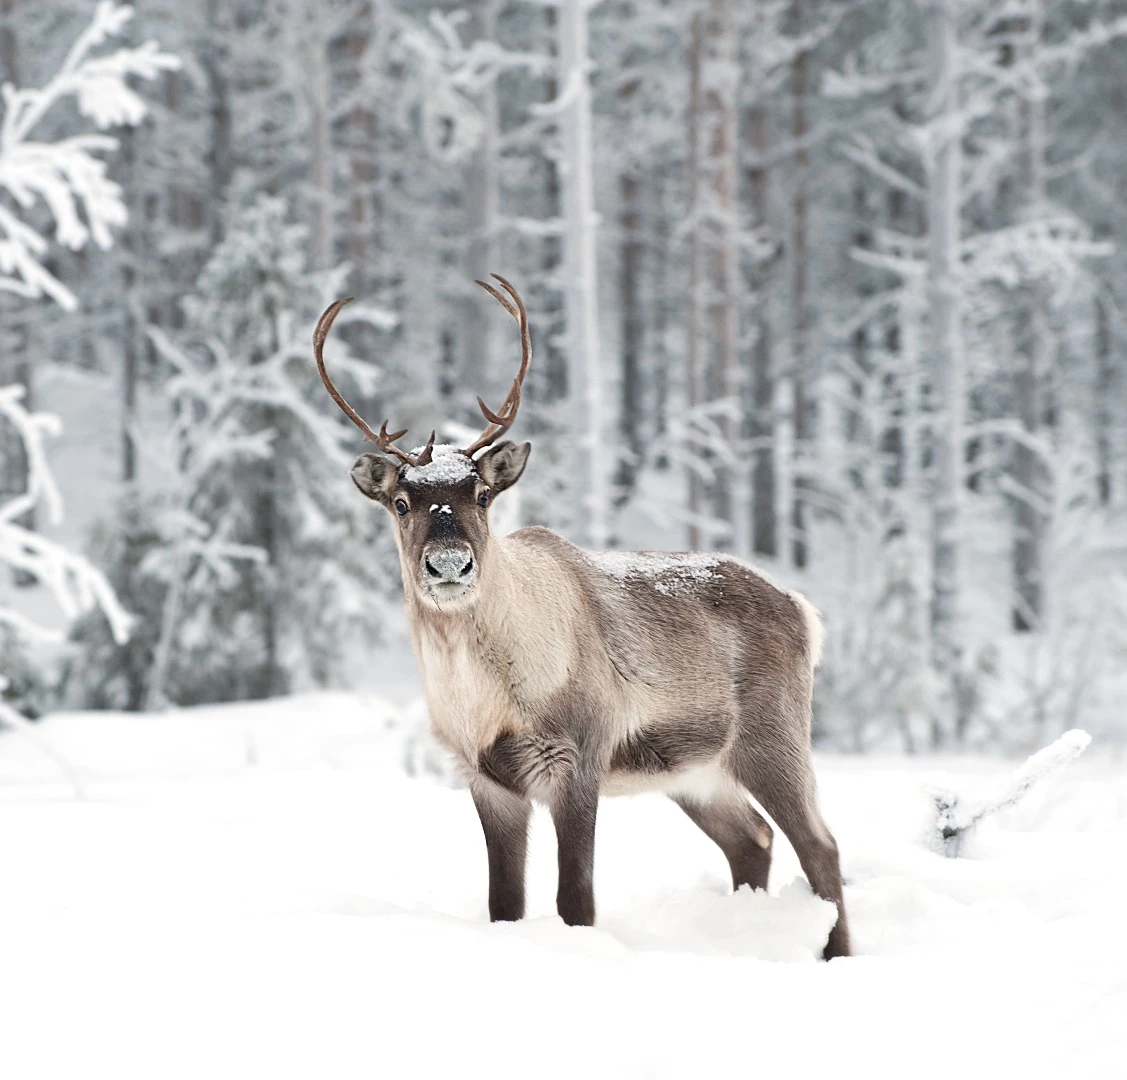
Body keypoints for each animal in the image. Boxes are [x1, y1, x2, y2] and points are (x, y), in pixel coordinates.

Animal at [314, 275, 851, 959]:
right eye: (402, 501)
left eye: (482, 495)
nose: (450, 564)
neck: (482, 693)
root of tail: (802, 610)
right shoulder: (487, 779)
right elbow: (504, 904)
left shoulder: (577, 757)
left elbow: (576, 901)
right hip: (695, 773)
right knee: (752, 839)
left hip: (772, 738)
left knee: (820, 845)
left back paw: (834, 952)